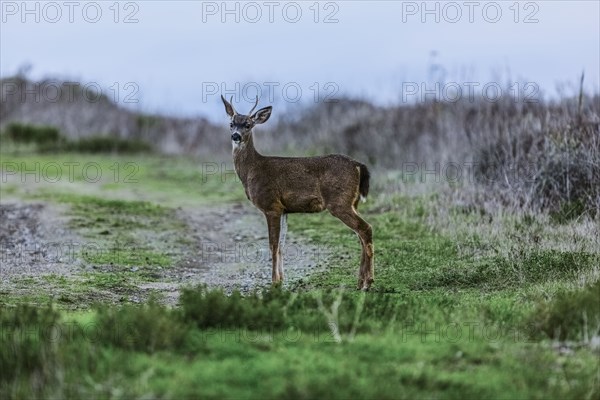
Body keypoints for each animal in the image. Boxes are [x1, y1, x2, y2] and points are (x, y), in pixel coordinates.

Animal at [220, 97, 372, 290]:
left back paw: (368, 282)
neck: (251, 170)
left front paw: (274, 282)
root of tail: (358, 165)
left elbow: (273, 245)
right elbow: (282, 245)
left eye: (248, 124)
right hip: (353, 202)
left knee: (365, 229)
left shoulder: (271, 205)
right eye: (231, 124)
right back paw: (360, 282)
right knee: (360, 234)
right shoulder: (284, 209)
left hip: (339, 202)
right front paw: (281, 280)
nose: (236, 136)